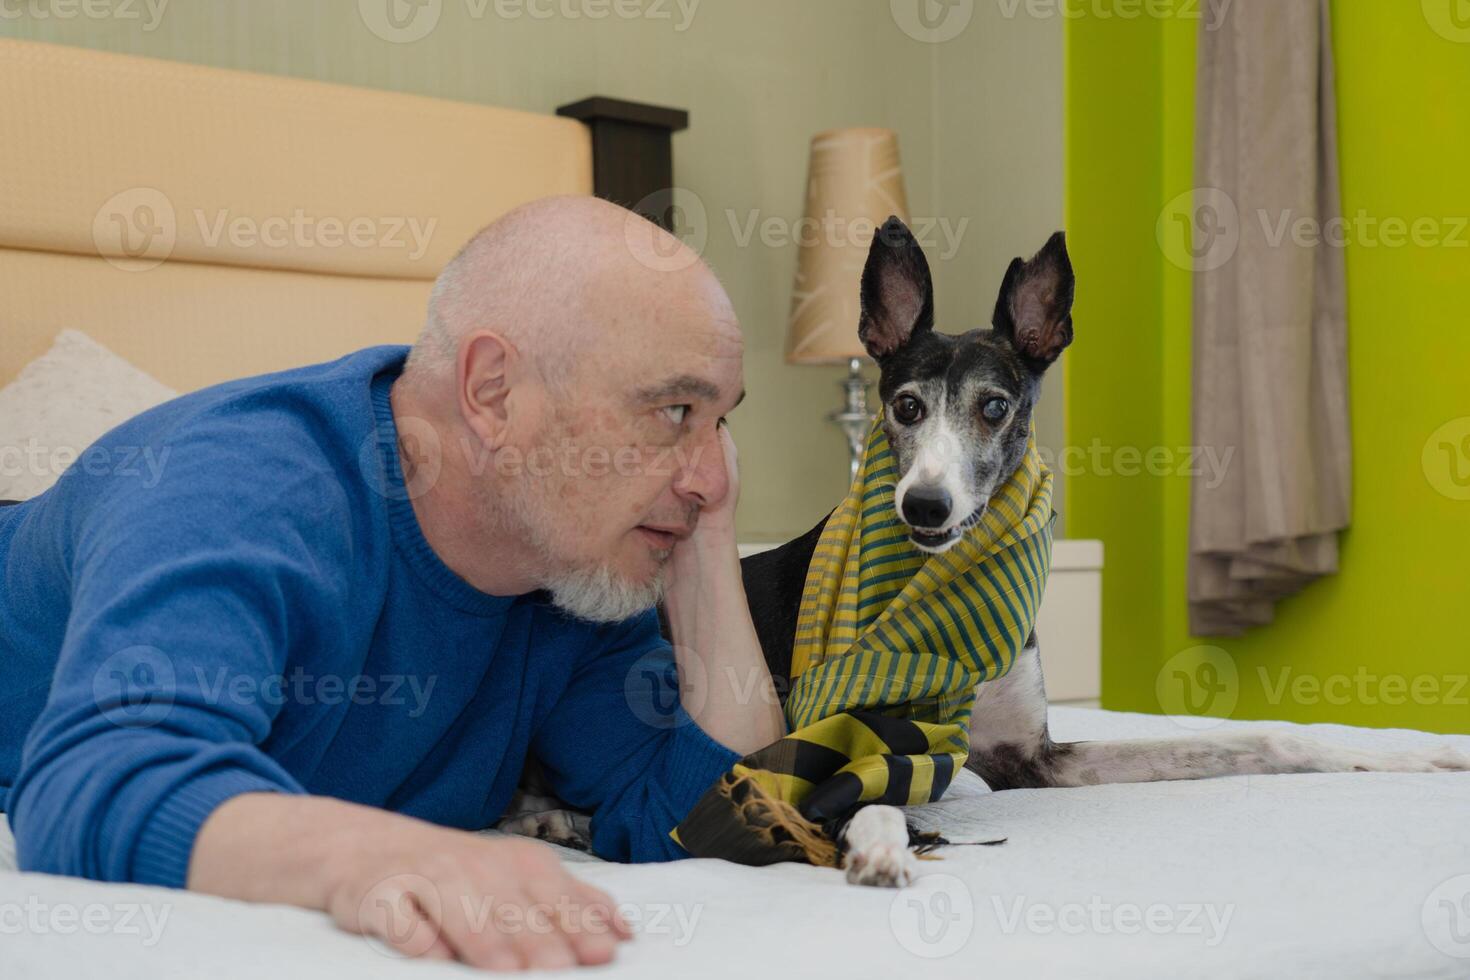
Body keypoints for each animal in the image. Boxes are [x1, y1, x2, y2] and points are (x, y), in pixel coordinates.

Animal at [505, 215, 1470, 887]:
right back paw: (553, 821)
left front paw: (1415, 756)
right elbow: (860, 787)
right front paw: (876, 843)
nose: (925, 504)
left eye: (995, 406)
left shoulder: (1030, 759)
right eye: (904, 406)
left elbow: (1260, 743)